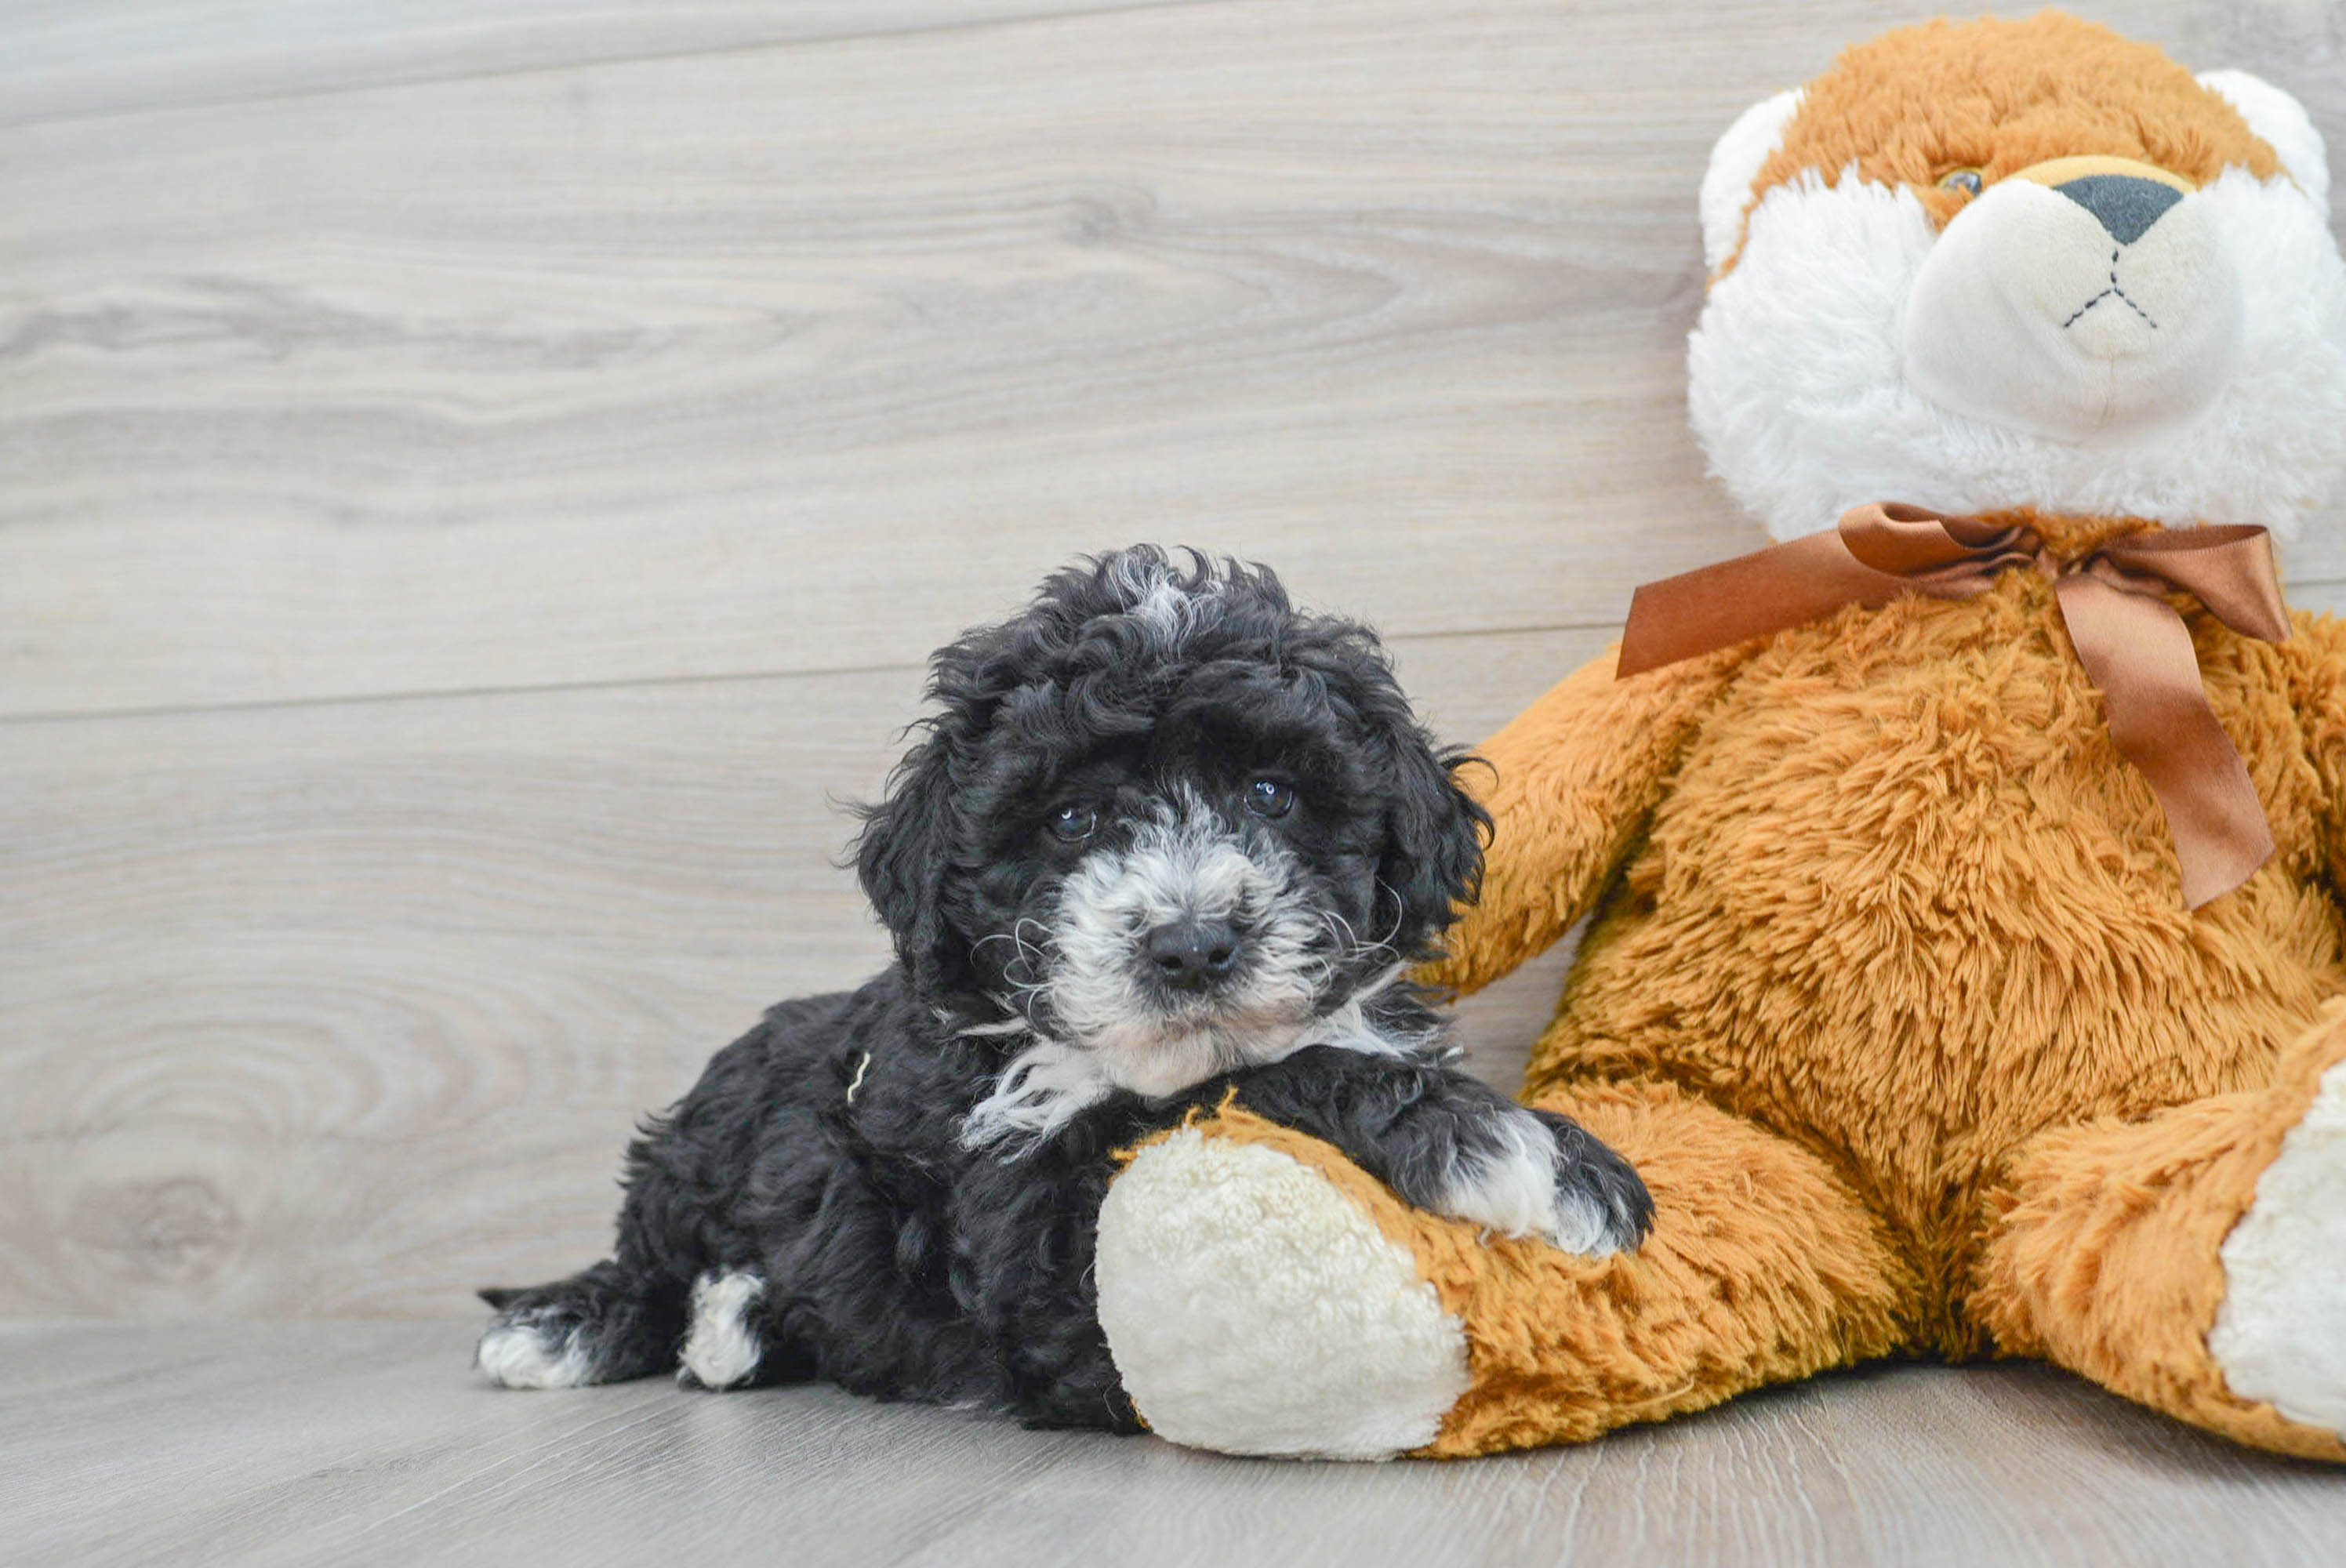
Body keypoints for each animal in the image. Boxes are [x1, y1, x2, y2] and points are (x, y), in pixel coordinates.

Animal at [476, 544, 1651, 1427]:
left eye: (1272, 794)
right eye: (1072, 821)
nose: (1191, 946)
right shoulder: (1032, 1238)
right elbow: (1235, 1088)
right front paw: (1514, 1146)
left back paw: (738, 1323)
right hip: (705, 1138)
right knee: (647, 1248)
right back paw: (573, 1325)